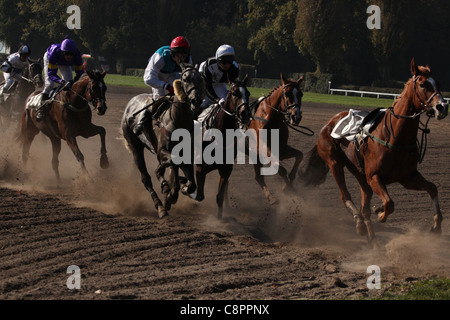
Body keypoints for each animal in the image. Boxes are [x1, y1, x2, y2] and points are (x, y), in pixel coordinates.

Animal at [120, 63, 203, 218]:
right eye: (185, 79)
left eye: (201, 78)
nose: (196, 100)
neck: (177, 119)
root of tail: (131, 103)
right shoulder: (162, 150)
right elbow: (173, 165)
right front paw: (171, 194)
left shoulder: (185, 153)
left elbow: (191, 183)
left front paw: (180, 186)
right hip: (135, 147)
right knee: (146, 179)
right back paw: (160, 207)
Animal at [192, 76, 251, 219]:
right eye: (235, 93)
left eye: (248, 93)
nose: (245, 114)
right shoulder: (200, 167)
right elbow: (199, 195)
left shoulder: (226, 169)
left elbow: (219, 196)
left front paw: (220, 218)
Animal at [248, 74, 304, 204]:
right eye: (287, 93)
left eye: (300, 94)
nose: (296, 117)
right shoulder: (264, 150)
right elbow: (281, 169)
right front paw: (289, 189)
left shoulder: (281, 148)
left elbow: (299, 155)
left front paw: (288, 185)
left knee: (258, 177)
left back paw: (271, 197)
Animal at [300, 58, 448, 246]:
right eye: (422, 84)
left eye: (438, 83)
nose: (442, 107)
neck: (395, 136)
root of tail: (329, 123)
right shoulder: (374, 176)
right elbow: (389, 203)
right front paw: (380, 212)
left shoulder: (407, 177)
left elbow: (432, 188)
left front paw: (436, 226)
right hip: (334, 162)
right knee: (345, 196)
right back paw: (359, 223)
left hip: (358, 171)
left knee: (365, 206)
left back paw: (373, 241)